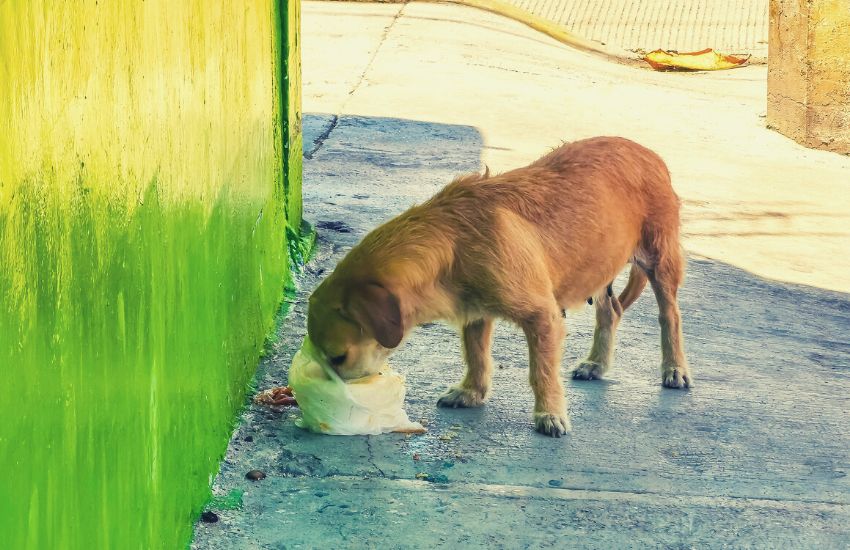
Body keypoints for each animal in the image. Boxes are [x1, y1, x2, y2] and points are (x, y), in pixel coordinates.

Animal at [306, 138, 688, 440]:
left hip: (659, 261)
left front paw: (549, 413)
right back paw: (597, 363)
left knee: (669, 315)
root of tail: (647, 152)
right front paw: (471, 392)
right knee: (610, 311)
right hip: (598, 269)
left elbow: (541, 373)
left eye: (339, 357)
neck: (453, 239)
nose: (341, 399)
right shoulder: (475, 314)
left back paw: (674, 368)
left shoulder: (543, 317)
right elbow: (477, 356)